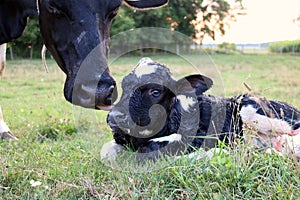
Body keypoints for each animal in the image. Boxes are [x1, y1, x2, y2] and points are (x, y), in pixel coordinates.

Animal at [103, 57, 300, 161]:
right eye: (124, 84)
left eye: (155, 91)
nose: (114, 116)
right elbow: (106, 150)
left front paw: (214, 153)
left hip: (251, 109)